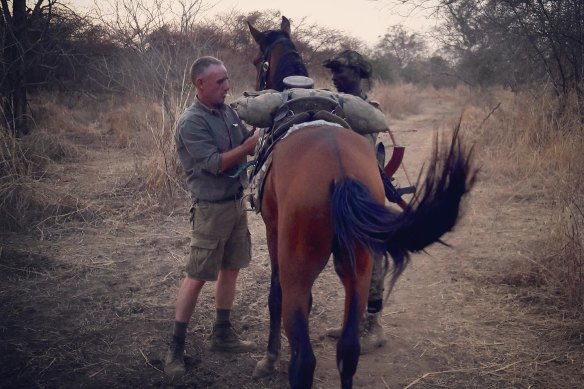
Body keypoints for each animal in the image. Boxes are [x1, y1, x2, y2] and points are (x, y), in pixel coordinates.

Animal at [245, 15, 474, 388]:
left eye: (255, 61)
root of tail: (341, 173)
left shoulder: (272, 232)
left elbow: (274, 297)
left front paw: (269, 359)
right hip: (359, 266)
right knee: (349, 350)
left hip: (301, 267)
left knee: (304, 360)